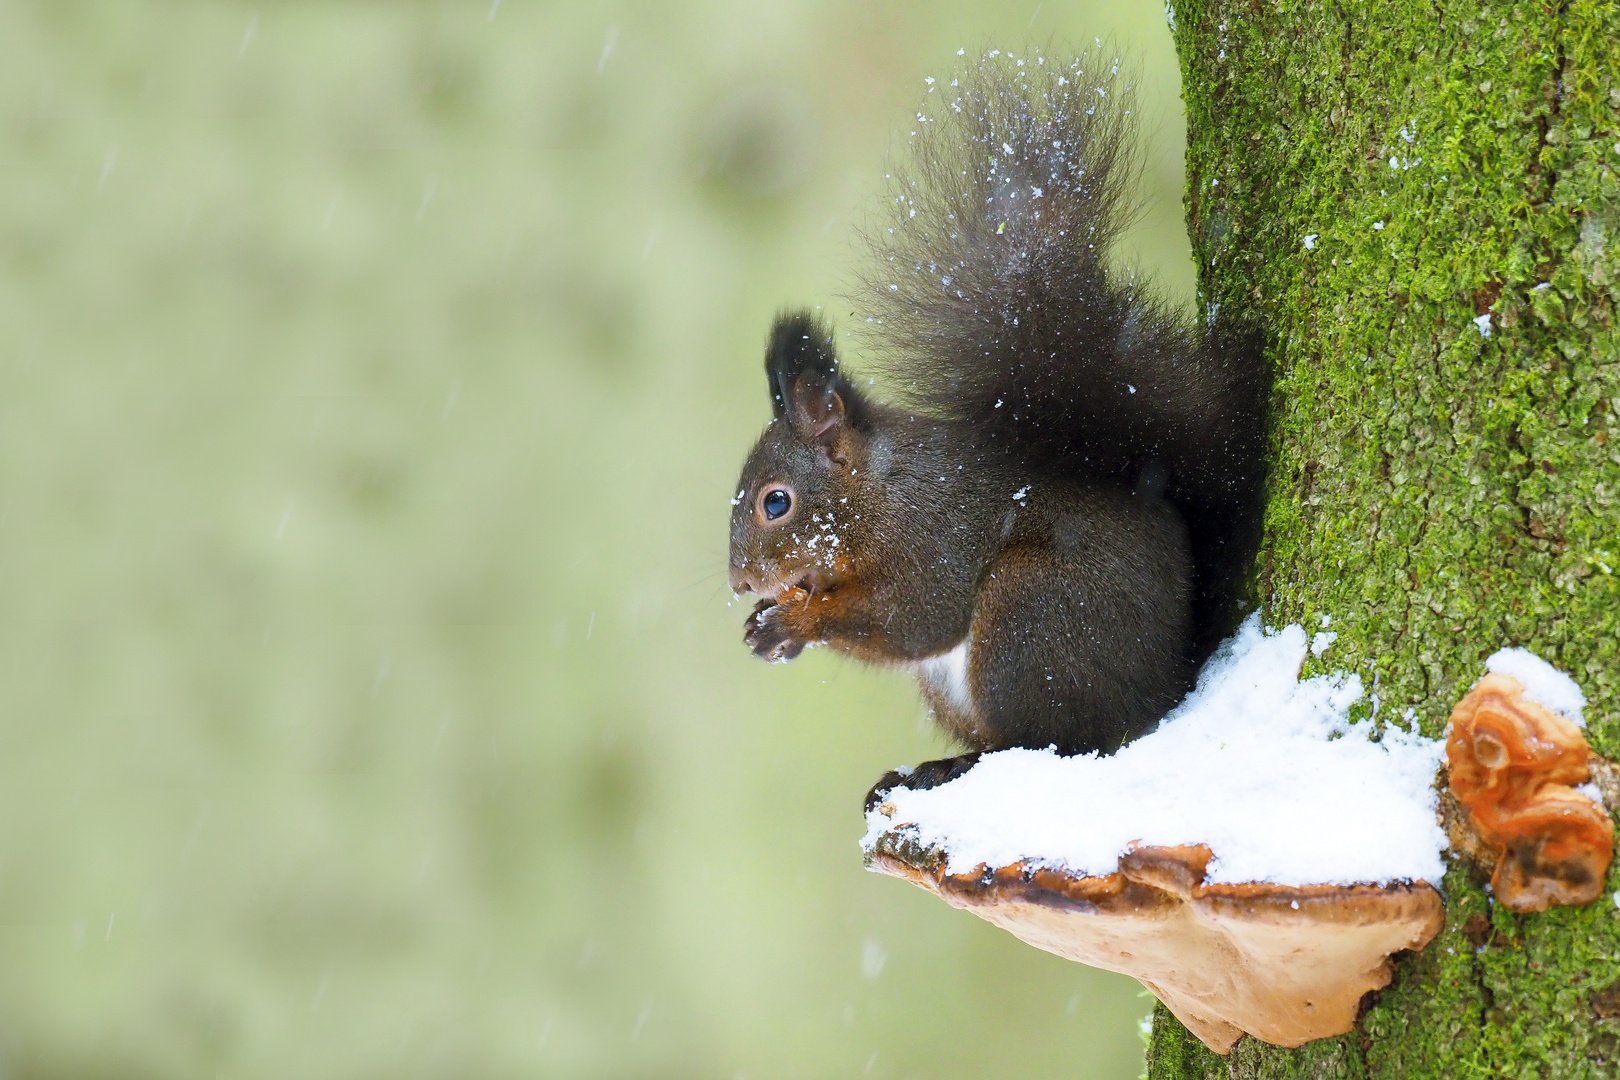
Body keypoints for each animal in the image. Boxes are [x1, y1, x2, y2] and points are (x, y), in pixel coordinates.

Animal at [722, 50, 1263, 799]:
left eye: (777, 502)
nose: (738, 583)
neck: (878, 494)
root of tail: (1166, 686)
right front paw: (768, 626)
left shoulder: (934, 539)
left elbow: (912, 619)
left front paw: (797, 618)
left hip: (1029, 616)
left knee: (1058, 742)